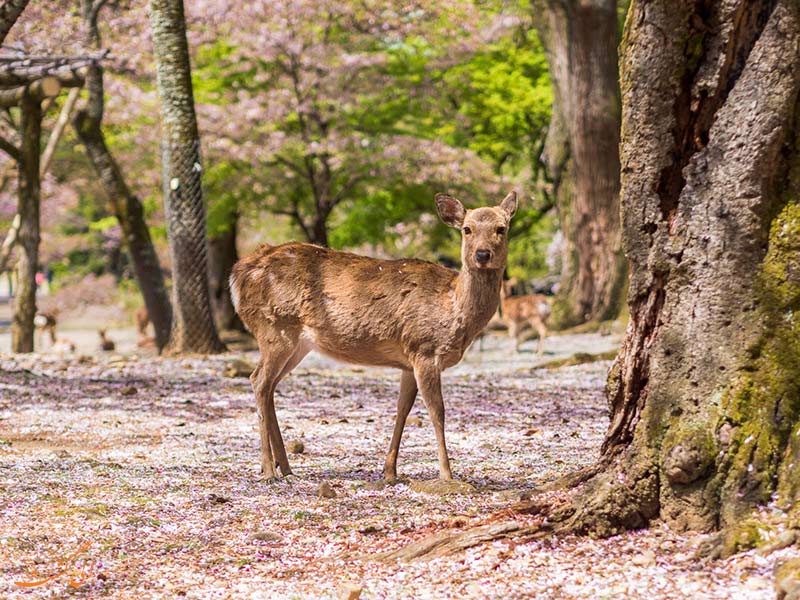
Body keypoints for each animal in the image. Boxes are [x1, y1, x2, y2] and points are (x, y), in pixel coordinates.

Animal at [231, 192, 520, 482]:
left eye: (501, 228)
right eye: (466, 229)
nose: (482, 254)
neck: (452, 306)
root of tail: (237, 274)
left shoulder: (409, 361)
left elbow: (402, 409)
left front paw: (390, 471)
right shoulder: (424, 349)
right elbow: (437, 411)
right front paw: (447, 475)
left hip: (297, 344)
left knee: (269, 386)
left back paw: (285, 467)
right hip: (275, 327)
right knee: (259, 380)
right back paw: (269, 470)